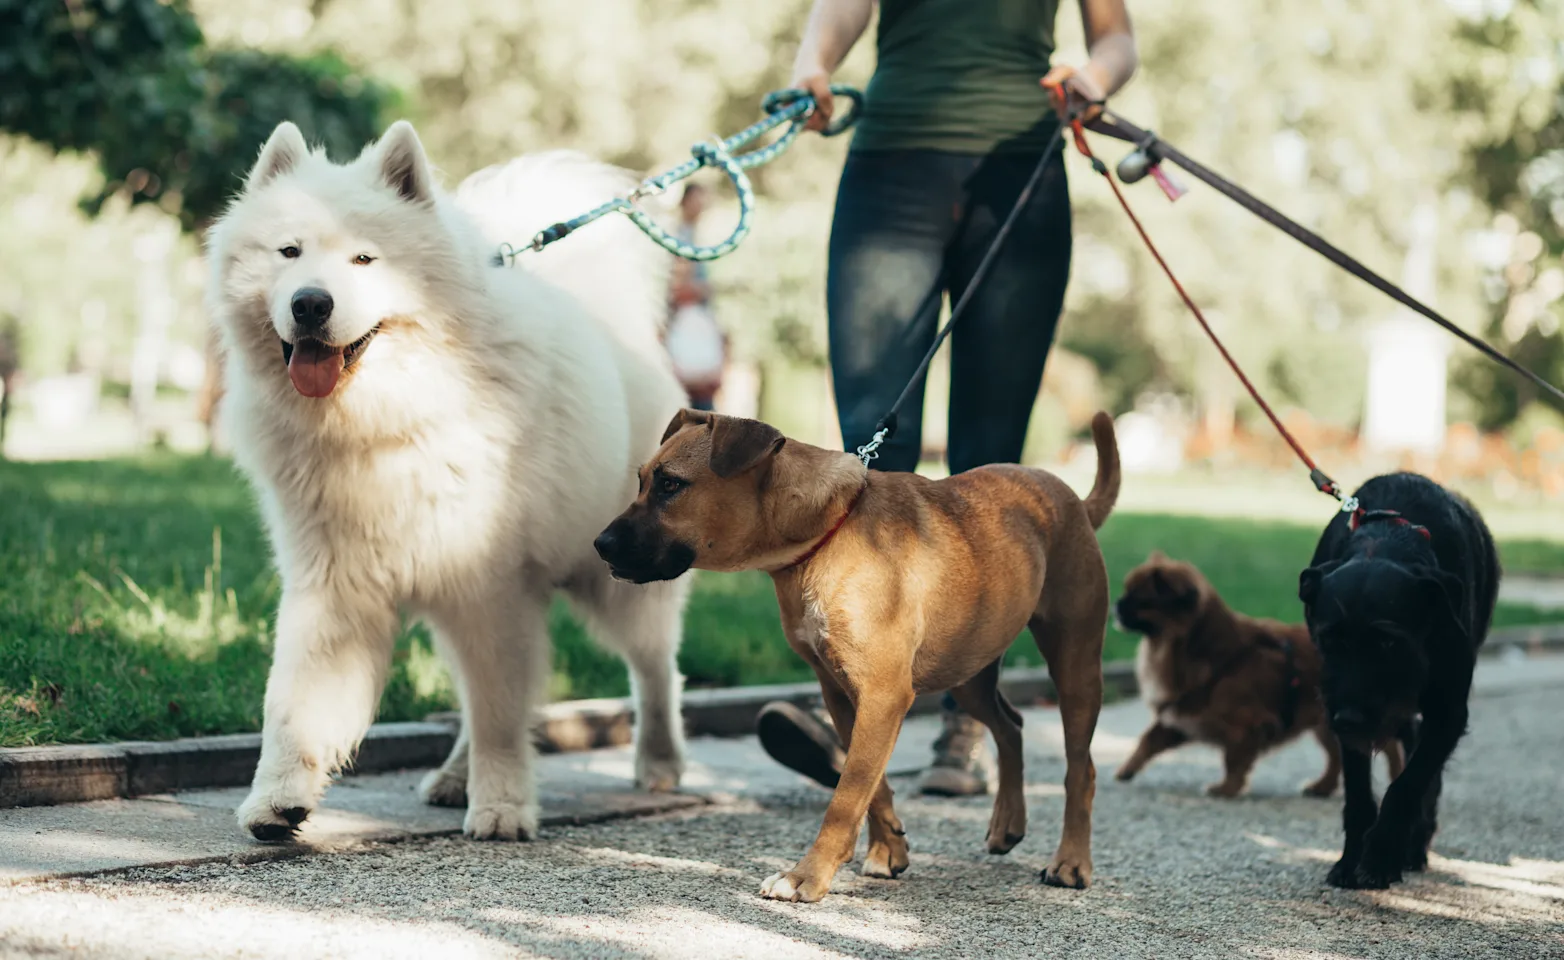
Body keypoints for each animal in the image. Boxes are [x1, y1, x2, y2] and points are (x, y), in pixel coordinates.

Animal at [206, 118, 691, 844]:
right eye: (288, 252)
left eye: (365, 260)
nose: (310, 303)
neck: (386, 419)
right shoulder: (334, 583)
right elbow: (295, 703)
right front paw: (278, 800)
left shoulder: (489, 585)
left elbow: (500, 715)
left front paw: (502, 807)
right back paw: (454, 777)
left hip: (616, 581)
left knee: (655, 669)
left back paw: (659, 762)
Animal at [591, 409, 1119, 900]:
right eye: (641, 481)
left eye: (671, 485)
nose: (599, 544)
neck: (826, 534)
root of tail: (1071, 499)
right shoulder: (843, 693)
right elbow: (870, 784)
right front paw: (888, 849)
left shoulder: (883, 696)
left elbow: (845, 798)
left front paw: (807, 875)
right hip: (968, 669)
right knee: (1012, 727)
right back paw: (1008, 822)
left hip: (1074, 667)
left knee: (1081, 769)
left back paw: (1071, 862)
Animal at [1113, 553, 1407, 800]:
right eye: (1126, 590)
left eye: (1140, 599)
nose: (1116, 605)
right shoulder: (1180, 717)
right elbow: (1148, 740)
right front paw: (1127, 769)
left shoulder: (1247, 726)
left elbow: (1233, 760)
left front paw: (1226, 789)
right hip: (1327, 724)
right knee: (1337, 757)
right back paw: (1321, 787)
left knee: (1392, 747)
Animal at [1294, 469, 1501, 894]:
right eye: (1328, 639)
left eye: (1389, 642)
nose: (1351, 719)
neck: (1387, 542)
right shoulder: (1343, 716)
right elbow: (1359, 793)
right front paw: (1351, 860)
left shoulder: (1449, 713)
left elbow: (1408, 786)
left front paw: (1380, 858)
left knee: (1426, 781)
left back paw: (1413, 846)